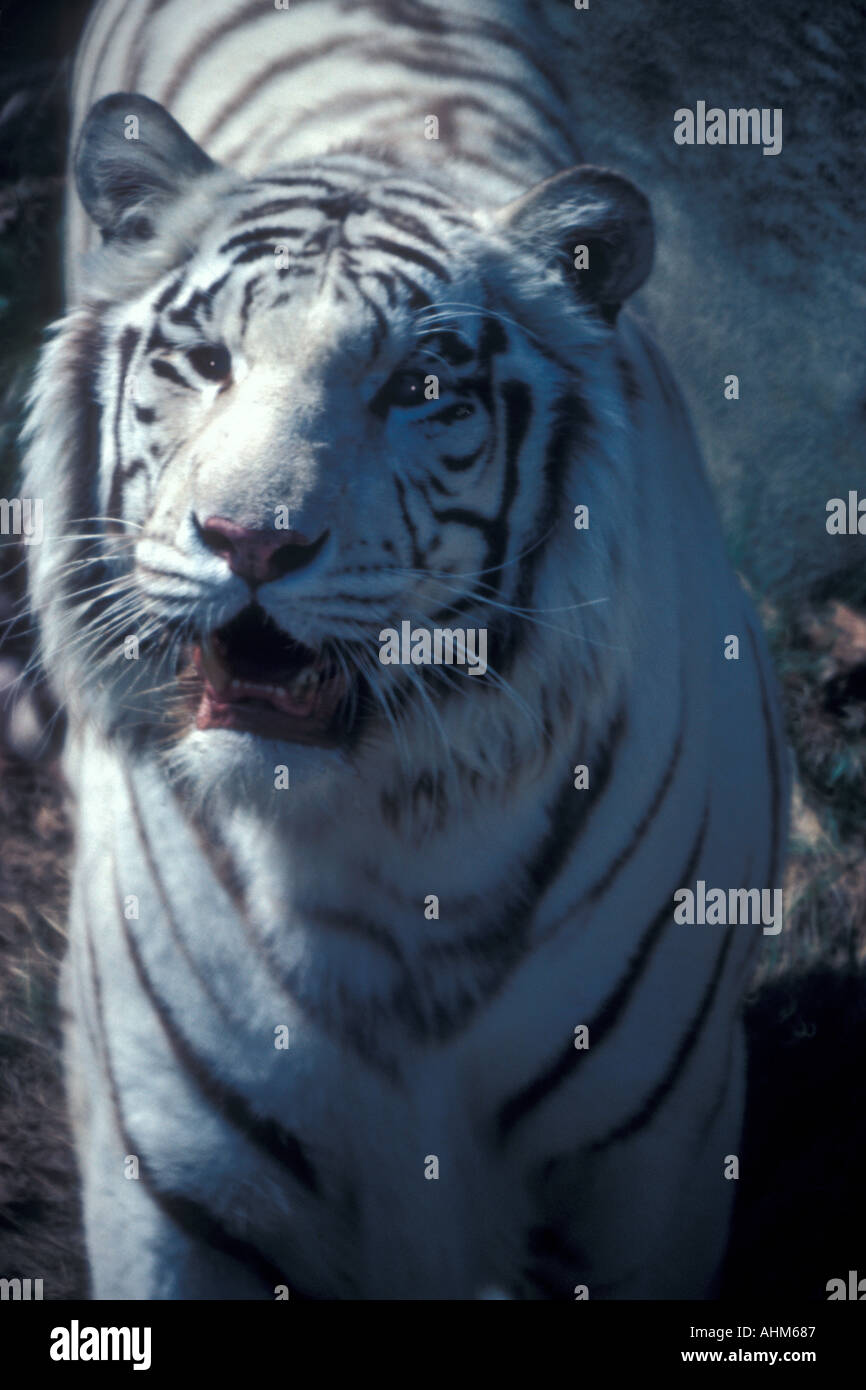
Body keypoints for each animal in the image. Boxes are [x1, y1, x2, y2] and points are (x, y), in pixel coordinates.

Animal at [22, 0, 788, 1300]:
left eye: (418, 387)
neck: (378, 860)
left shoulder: (653, 1172)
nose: (250, 539)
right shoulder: (167, 1178)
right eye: (206, 362)